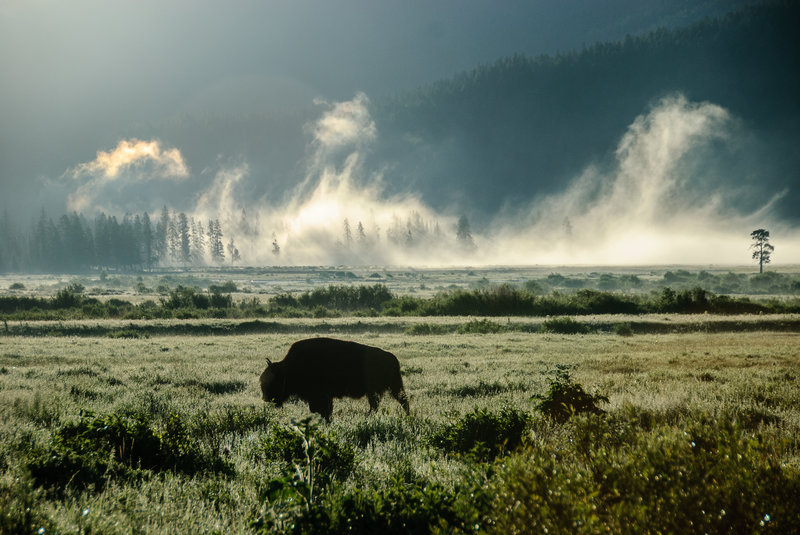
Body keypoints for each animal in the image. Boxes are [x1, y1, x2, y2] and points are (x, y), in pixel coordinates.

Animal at [260, 338, 410, 420]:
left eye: (274, 381)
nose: (265, 398)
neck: (289, 368)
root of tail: (392, 358)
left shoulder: (320, 396)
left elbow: (324, 410)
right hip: (388, 388)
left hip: (384, 389)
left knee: (392, 402)